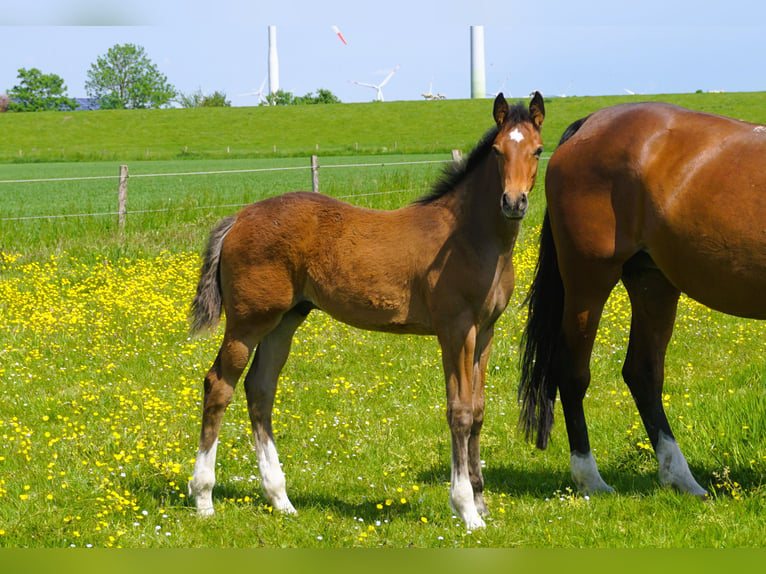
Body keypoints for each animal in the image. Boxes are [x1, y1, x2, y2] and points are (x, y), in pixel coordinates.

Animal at [186, 92, 544, 528]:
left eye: (537, 150)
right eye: (497, 150)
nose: (514, 202)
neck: (469, 237)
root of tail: (239, 217)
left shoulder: (486, 330)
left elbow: (477, 410)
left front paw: (480, 501)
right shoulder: (456, 329)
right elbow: (458, 411)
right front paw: (465, 509)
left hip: (286, 320)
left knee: (260, 389)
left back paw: (280, 498)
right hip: (248, 322)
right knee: (219, 385)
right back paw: (204, 497)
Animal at [520, 101, 764, 498]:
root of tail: (590, 124)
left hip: (653, 284)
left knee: (643, 373)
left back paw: (680, 478)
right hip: (589, 280)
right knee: (572, 372)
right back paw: (590, 479)